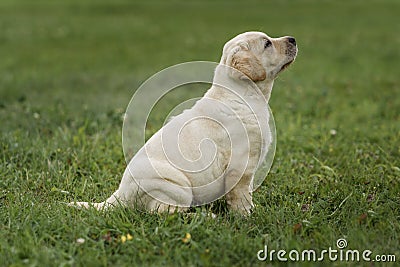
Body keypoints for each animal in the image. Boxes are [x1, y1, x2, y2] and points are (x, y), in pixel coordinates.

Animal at [70, 31, 296, 216]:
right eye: (267, 43)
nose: (293, 39)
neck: (242, 96)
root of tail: (120, 194)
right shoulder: (241, 166)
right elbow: (241, 196)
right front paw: (246, 217)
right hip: (175, 187)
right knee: (163, 212)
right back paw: (204, 217)